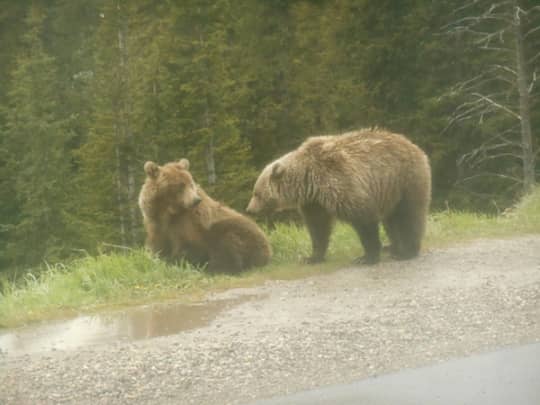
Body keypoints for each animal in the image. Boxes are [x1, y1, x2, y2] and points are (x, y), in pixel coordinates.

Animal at [137, 158, 272, 272]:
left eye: (191, 183)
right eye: (180, 185)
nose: (196, 200)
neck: (168, 211)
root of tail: (269, 250)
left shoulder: (188, 223)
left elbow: (187, 245)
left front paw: (177, 261)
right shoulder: (155, 222)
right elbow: (156, 246)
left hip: (241, 232)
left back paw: (215, 267)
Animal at [247, 128, 432, 264]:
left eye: (256, 193)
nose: (249, 210)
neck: (309, 180)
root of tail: (416, 147)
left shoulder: (341, 182)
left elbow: (363, 219)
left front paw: (367, 257)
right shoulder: (314, 202)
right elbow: (318, 227)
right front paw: (312, 257)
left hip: (404, 180)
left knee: (408, 215)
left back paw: (406, 251)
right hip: (389, 192)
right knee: (391, 219)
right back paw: (393, 246)